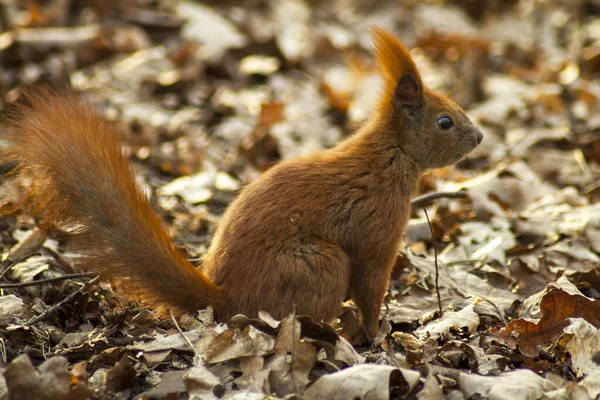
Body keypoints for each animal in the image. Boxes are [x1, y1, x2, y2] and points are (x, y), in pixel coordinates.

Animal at [1, 27, 482, 340]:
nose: (479, 138)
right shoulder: (377, 233)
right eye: (445, 121)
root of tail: (224, 299)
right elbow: (370, 286)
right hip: (320, 264)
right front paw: (377, 333)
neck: (389, 156)